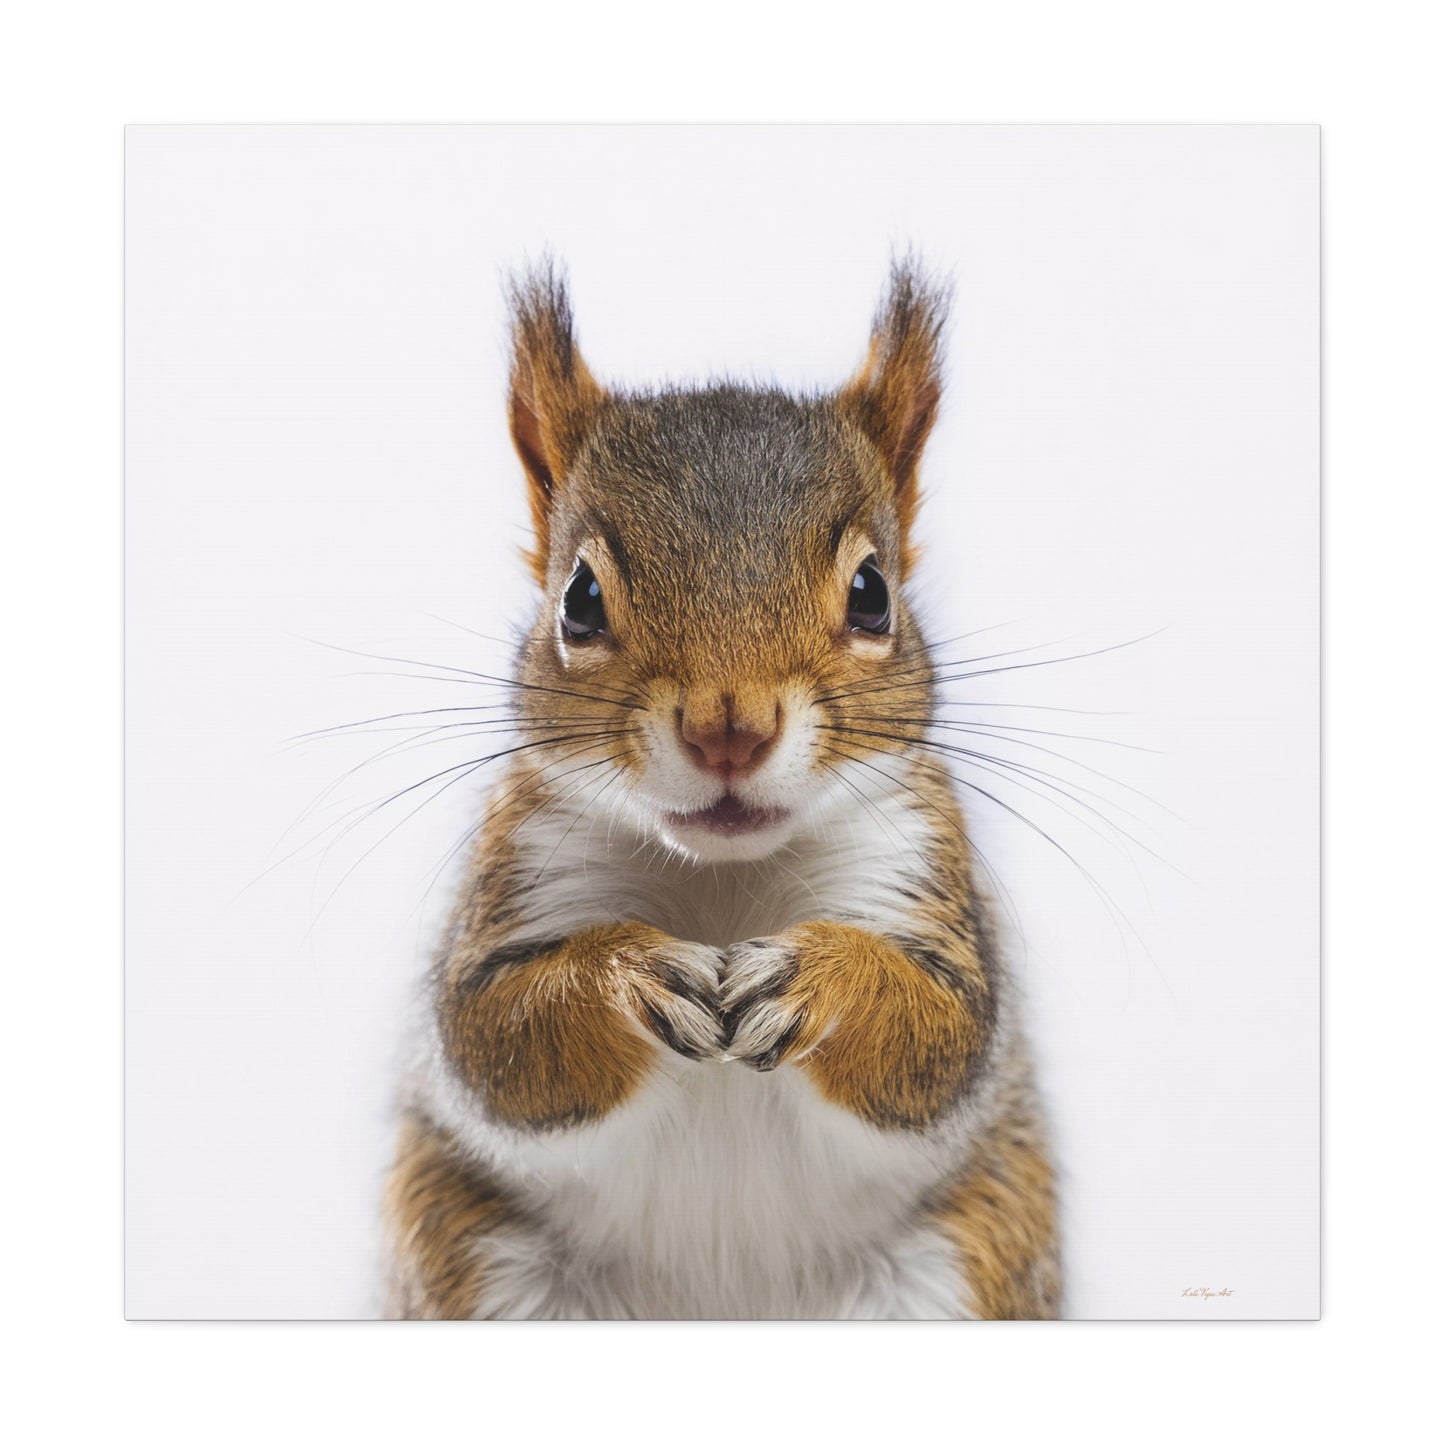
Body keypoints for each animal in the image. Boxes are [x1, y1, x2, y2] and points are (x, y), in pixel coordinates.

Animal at [382, 257, 1061, 1320]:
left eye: (873, 593)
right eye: (578, 601)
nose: (726, 729)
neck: (722, 878)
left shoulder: (916, 872)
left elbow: (941, 1037)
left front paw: (817, 977)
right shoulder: (518, 877)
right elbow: (495, 1042)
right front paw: (628, 972)